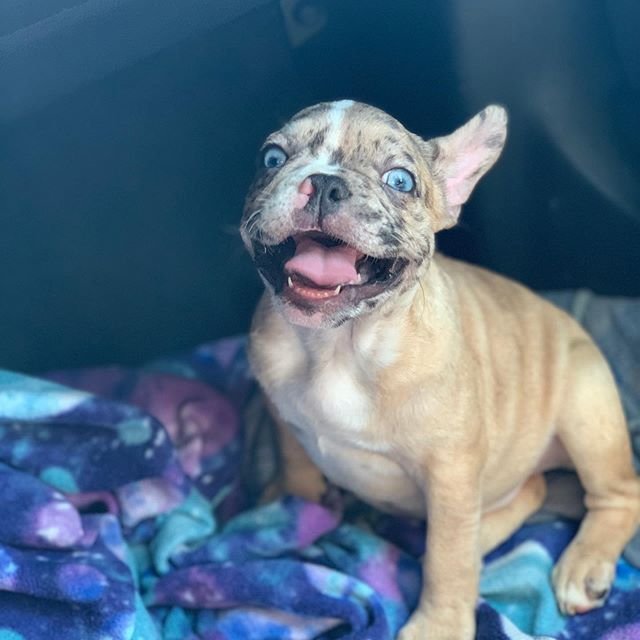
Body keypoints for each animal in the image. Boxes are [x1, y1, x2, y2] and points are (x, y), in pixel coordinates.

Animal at [239, 99, 640, 636]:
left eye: (401, 181)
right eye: (271, 159)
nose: (324, 183)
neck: (340, 346)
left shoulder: (451, 475)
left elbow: (447, 560)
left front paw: (439, 625)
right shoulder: (284, 415)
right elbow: (297, 464)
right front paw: (295, 512)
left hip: (586, 408)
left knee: (618, 494)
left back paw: (583, 563)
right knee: (532, 489)